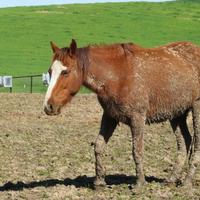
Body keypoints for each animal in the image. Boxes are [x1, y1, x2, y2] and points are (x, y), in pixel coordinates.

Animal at [43, 39, 200, 189]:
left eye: (65, 72)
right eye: (50, 72)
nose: (48, 106)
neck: (118, 76)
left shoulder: (137, 118)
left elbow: (137, 150)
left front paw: (140, 183)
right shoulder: (109, 116)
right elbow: (98, 146)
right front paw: (99, 182)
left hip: (196, 109)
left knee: (196, 144)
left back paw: (187, 181)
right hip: (177, 114)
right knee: (184, 143)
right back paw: (172, 179)